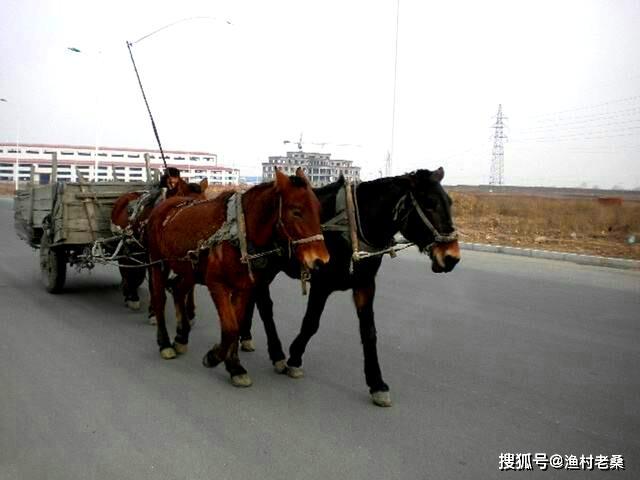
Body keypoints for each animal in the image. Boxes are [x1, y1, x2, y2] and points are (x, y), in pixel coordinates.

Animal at [110, 177, 208, 316]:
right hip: (125, 247)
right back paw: (132, 296)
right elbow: (154, 283)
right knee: (126, 270)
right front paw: (153, 312)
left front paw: (190, 311)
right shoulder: (153, 258)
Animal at [145, 169, 330, 386]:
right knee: (159, 298)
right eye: (296, 211)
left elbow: (237, 323)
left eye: (319, 210)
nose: (320, 260)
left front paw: (234, 366)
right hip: (157, 262)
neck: (240, 232)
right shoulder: (217, 285)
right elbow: (231, 327)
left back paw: (181, 337)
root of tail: (164, 206)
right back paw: (165, 342)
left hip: (190, 269)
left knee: (178, 289)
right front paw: (213, 357)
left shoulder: (244, 287)